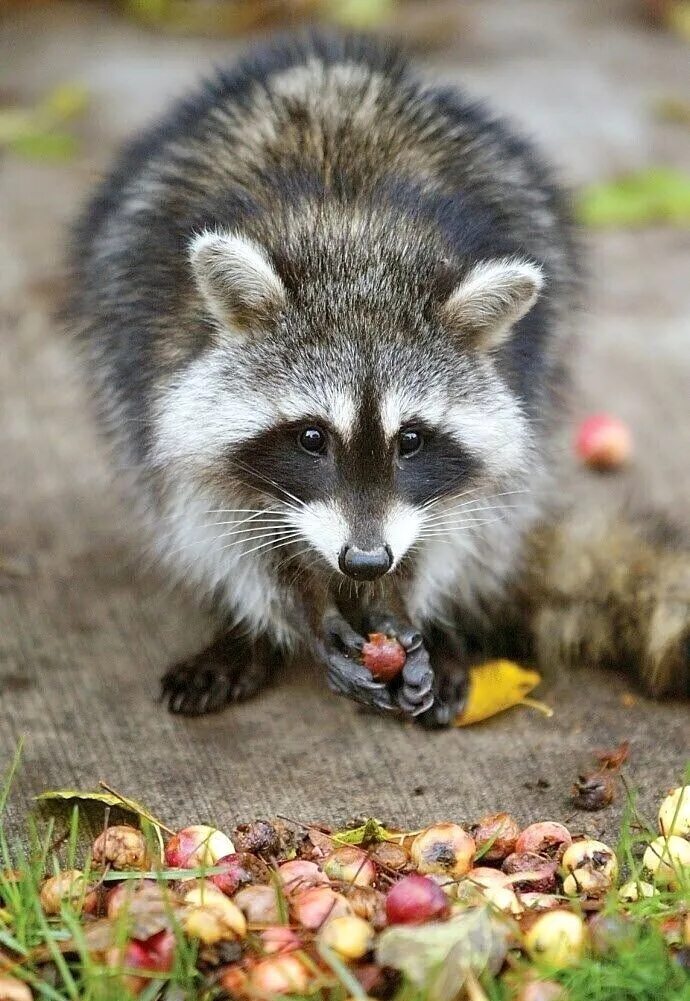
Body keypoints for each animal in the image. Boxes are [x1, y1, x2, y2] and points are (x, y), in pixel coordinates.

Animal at [71, 29, 688, 720]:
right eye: (312, 438)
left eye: (411, 440)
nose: (366, 562)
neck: (355, 243)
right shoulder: (157, 363)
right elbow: (215, 518)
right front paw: (303, 611)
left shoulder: (514, 393)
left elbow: (472, 514)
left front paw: (404, 600)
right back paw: (248, 631)